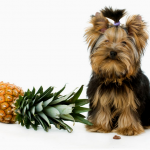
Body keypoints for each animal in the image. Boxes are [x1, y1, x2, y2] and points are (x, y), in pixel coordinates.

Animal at [85, 7, 149, 136]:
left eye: (124, 43)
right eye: (106, 41)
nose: (113, 52)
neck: (114, 75)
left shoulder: (132, 97)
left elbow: (129, 110)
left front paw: (128, 128)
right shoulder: (99, 95)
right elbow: (101, 108)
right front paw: (99, 126)